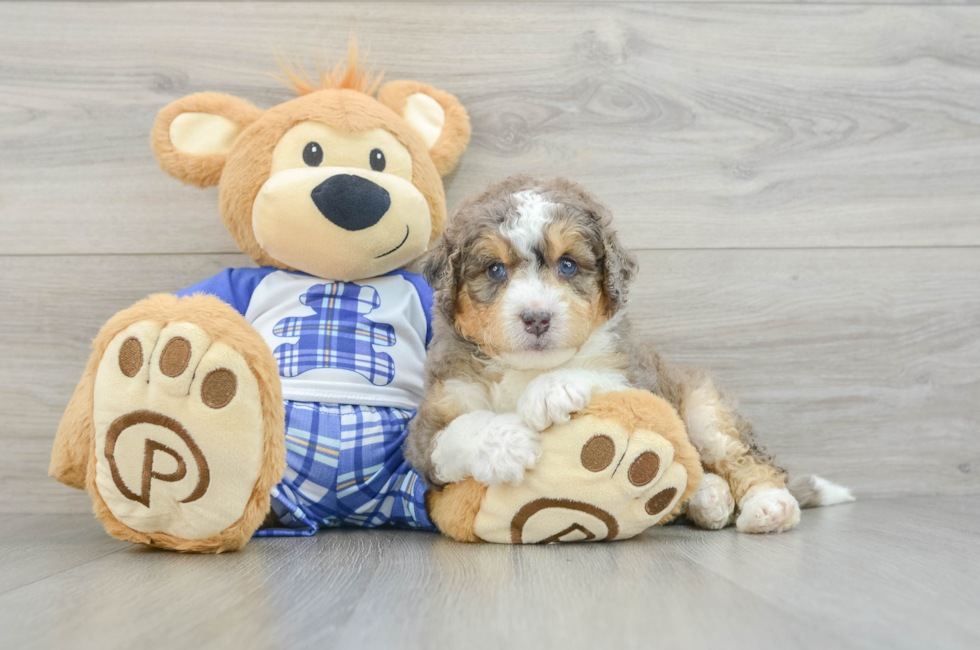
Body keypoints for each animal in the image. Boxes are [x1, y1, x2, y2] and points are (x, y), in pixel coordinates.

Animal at [404, 173, 848, 532]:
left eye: (568, 265)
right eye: (495, 269)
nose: (536, 318)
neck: (527, 369)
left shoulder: (637, 375)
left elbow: (602, 377)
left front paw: (549, 392)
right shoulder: (431, 422)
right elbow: (457, 430)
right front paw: (507, 443)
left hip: (705, 408)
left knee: (744, 456)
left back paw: (769, 507)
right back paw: (710, 498)